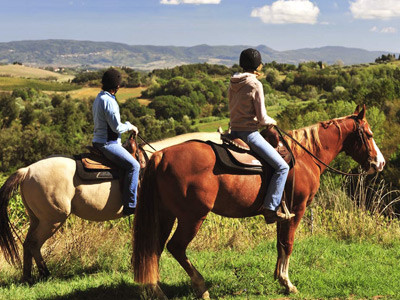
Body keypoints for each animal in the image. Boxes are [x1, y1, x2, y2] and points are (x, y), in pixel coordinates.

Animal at [134, 105, 384, 298]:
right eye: (369, 135)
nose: (379, 163)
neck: (304, 157)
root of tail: (161, 156)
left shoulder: (282, 212)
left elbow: (280, 243)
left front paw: (278, 277)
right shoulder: (298, 209)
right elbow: (288, 244)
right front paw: (288, 283)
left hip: (166, 215)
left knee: (154, 249)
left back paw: (155, 291)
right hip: (192, 217)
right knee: (175, 247)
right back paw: (200, 286)